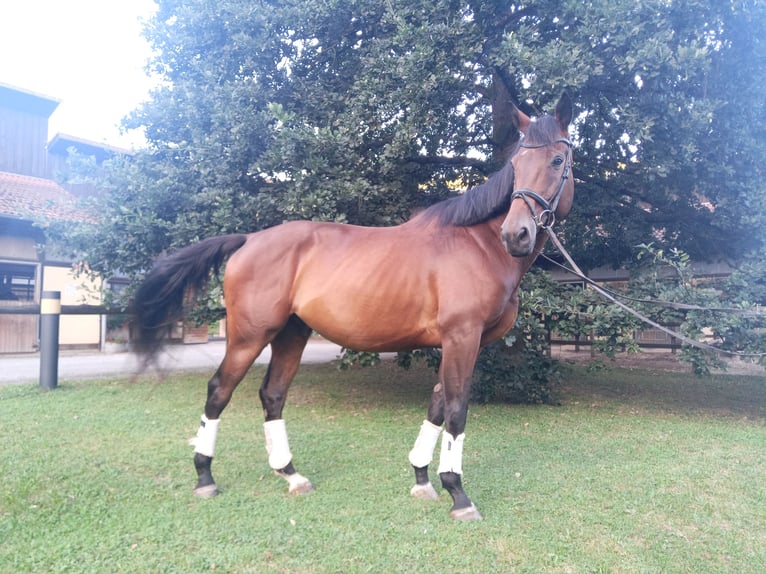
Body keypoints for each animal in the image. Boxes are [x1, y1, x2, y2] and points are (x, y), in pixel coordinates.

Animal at [134, 92, 576, 524]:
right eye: (515, 166)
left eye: (557, 161)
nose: (516, 234)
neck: (478, 245)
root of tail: (249, 239)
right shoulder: (461, 338)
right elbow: (455, 408)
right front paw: (458, 494)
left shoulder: (462, 343)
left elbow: (436, 403)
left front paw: (422, 478)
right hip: (249, 336)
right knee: (219, 391)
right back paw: (205, 476)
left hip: (291, 333)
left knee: (273, 394)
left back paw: (291, 475)